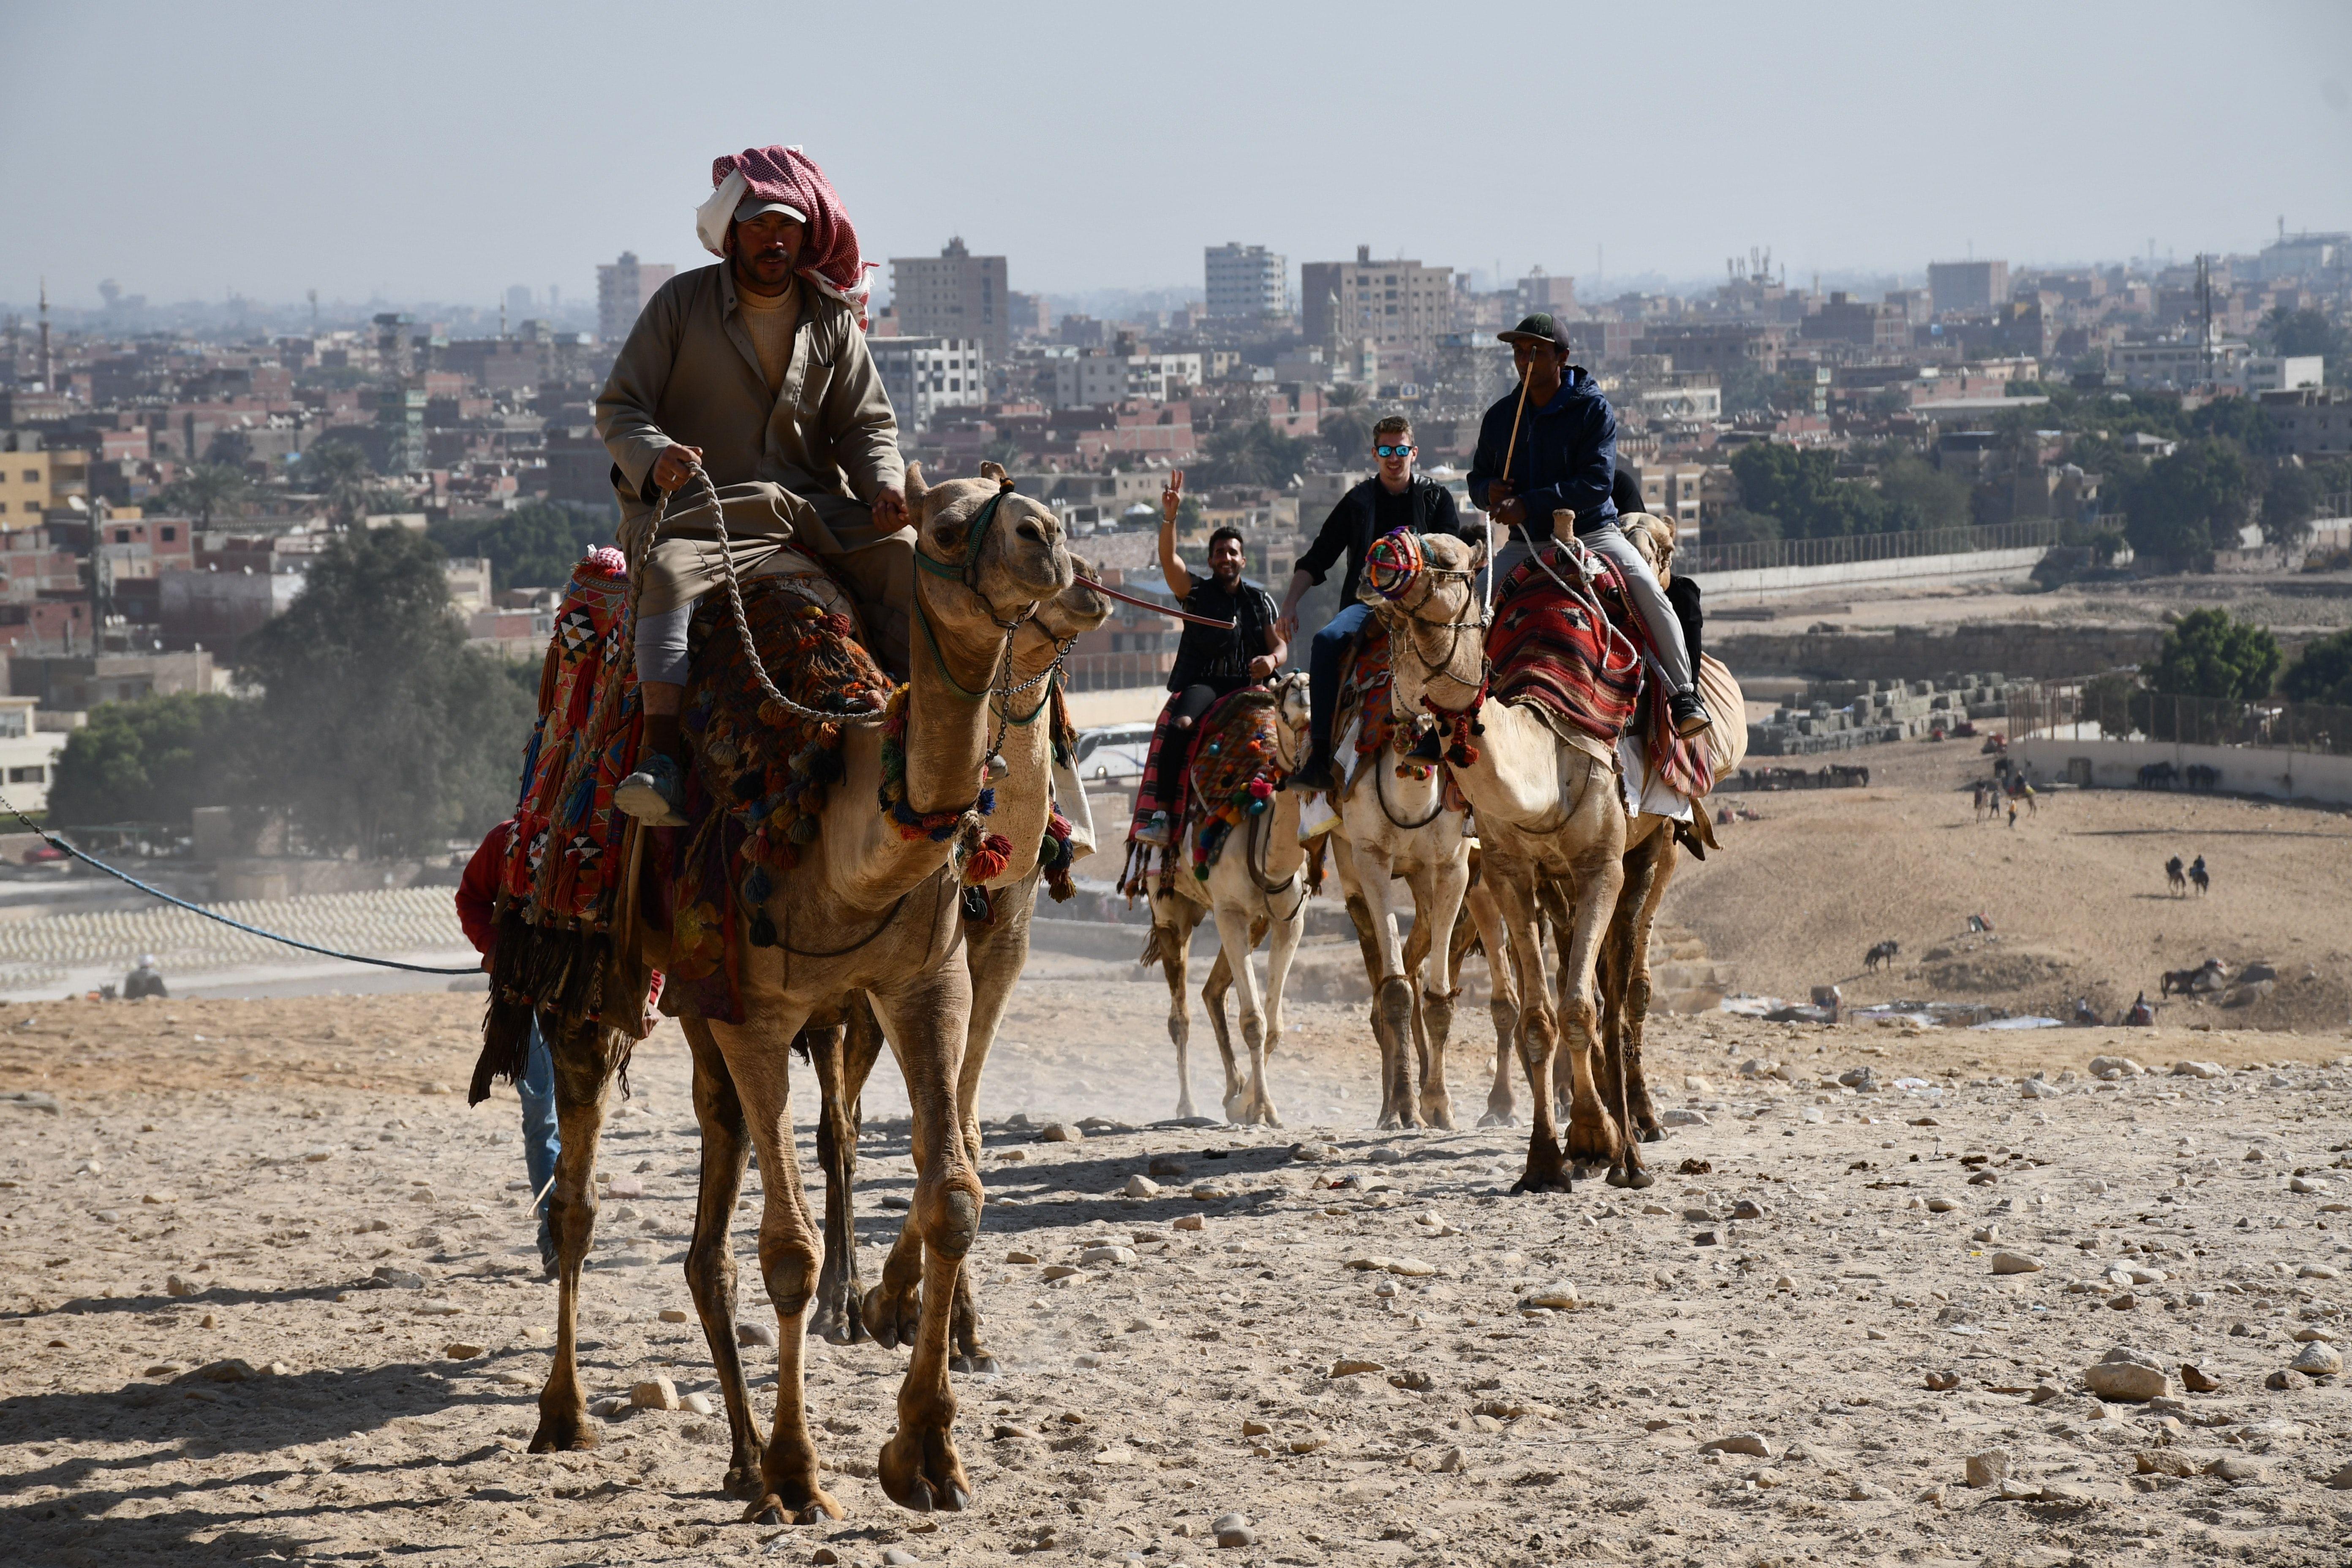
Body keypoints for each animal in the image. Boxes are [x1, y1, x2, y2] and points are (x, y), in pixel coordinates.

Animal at [529, 460, 1073, 1523]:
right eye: (945, 528)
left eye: (1036, 510)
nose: (1048, 541)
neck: (828, 810)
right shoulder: (762, 1008)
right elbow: (788, 1250)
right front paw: (798, 1471)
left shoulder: (926, 979)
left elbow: (954, 1191)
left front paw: (927, 1452)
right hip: (594, 967)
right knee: (577, 1193)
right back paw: (567, 1415)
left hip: (711, 1008)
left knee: (710, 1212)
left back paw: (738, 1455)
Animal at [1143, 677, 1317, 1128]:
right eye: (1284, 702)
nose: (1301, 685)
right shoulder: (1230, 910)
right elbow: (1254, 1020)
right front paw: (1262, 1109)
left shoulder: (1289, 919)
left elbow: (1274, 1024)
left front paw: (1244, 1103)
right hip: (1170, 909)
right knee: (1180, 1017)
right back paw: (1188, 1105)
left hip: (1251, 923)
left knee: (1211, 992)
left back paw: (1231, 1088)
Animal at [1373, 531, 1628, 1190]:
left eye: (1449, 563)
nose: (1382, 560)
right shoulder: (1508, 869)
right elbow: (1541, 1015)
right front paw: (1545, 1160)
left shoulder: (1603, 865)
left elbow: (1579, 1007)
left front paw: (1596, 1140)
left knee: (1621, 990)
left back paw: (1638, 1127)